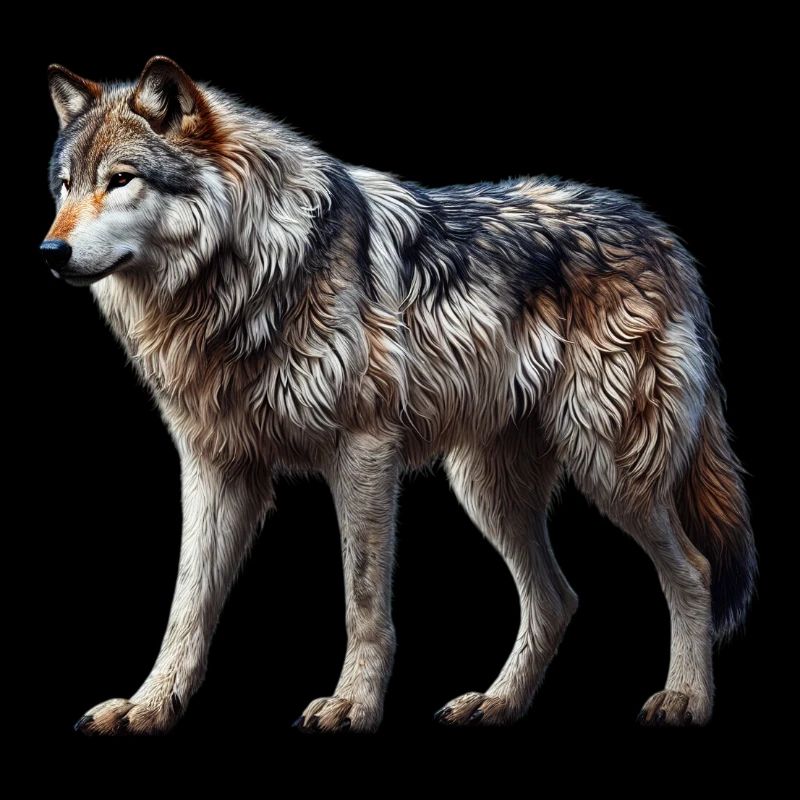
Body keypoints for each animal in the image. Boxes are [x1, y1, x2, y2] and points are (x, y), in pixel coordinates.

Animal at [43, 57, 755, 735]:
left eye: (121, 179)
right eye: (65, 185)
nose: (51, 250)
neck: (241, 278)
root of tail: (663, 237)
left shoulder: (364, 452)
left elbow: (363, 603)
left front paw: (353, 705)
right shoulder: (215, 467)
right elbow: (187, 606)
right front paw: (148, 706)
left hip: (611, 467)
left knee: (692, 571)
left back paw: (686, 699)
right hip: (488, 487)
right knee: (557, 599)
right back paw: (496, 704)